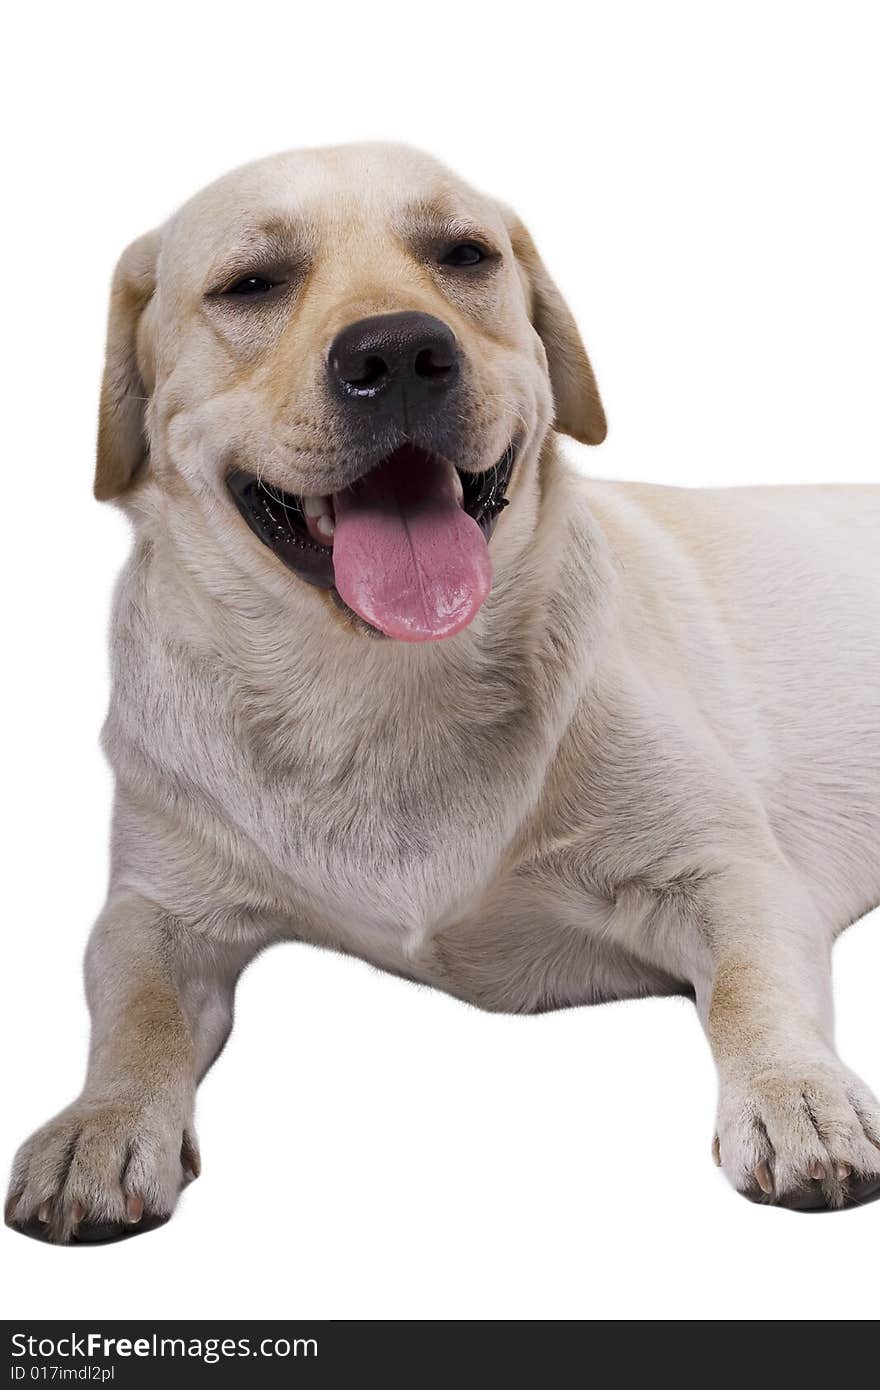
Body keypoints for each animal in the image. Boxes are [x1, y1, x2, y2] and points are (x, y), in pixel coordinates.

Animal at [5, 146, 873, 1245]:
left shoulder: (728, 869)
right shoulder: (153, 906)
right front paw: (101, 1121)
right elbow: (134, 1013)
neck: (382, 683)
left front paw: (795, 1092)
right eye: (251, 283)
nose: (401, 351)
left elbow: (753, 986)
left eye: (464, 256)